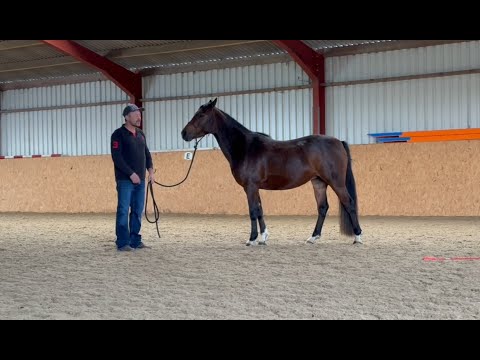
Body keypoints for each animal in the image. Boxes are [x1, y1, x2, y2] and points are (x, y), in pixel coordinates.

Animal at [182, 97, 362, 245]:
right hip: (318, 182)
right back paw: (313, 237)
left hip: (336, 182)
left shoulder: (250, 186)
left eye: (201, 115)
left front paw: (252, 239)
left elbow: (253, 211)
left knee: (349, 203)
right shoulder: (254, 187)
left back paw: (358, 237)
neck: (245, 147)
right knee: (322, 207)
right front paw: (263, 237)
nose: (183, 133)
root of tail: (338, 141)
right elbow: (259, 210)